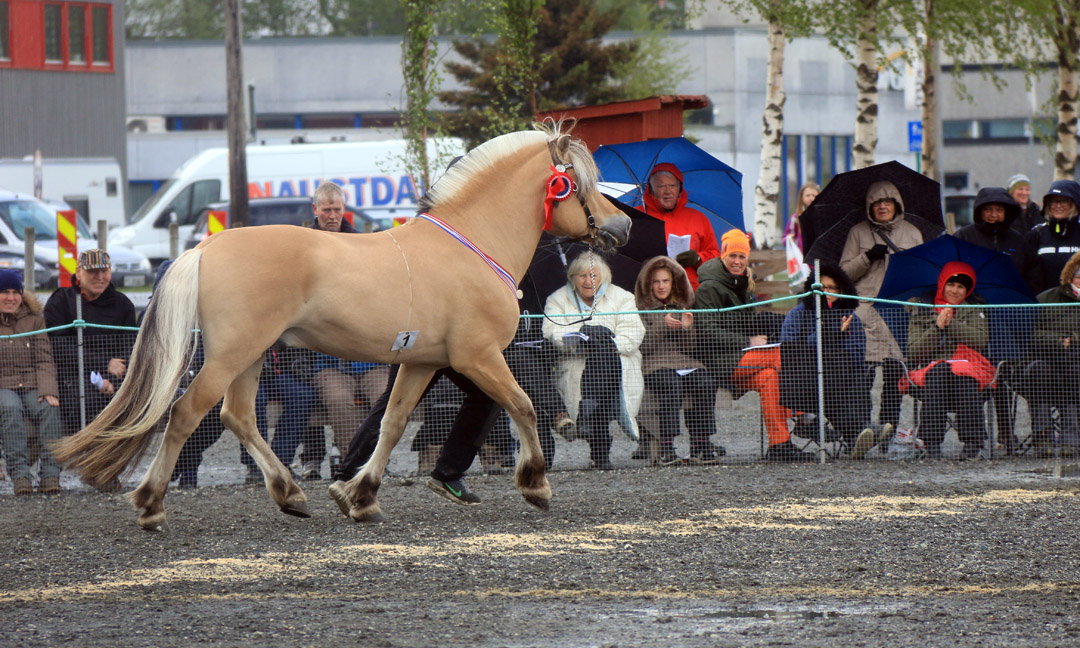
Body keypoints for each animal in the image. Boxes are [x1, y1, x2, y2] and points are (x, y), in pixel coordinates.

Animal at [54, 121, 630, 531]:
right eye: (577, 184)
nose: (623, 225)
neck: (471, 244)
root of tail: (207, 246)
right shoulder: (478, 357)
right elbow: (523, 405)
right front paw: (535, 486)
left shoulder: (422, 362)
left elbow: (392, 424)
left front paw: (361, 496)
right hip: (230, 355)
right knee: (186, 414)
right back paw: (152, 505)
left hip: (251, 356)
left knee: (239, 417)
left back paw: (291, 495)